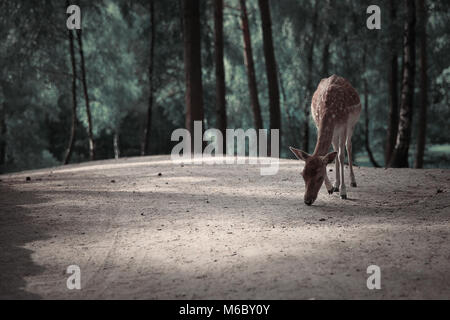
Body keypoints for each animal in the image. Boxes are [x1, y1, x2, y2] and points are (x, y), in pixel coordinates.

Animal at [288, 74, 362, 205]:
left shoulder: (343, 125)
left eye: (320, 177)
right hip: (335, 132)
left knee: (348, 146)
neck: (330, 111)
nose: (307, 200)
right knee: (335, 149)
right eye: (303, 174)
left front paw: (343, 192)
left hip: (352, 125)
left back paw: (352, 181)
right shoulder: (319, 123)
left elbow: (341, 155)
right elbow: (329, 156)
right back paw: (336, 184)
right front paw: (331, 188)